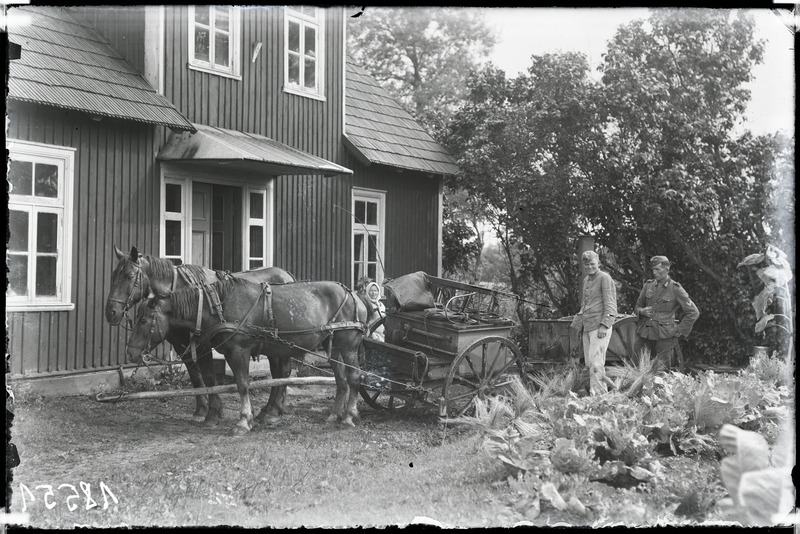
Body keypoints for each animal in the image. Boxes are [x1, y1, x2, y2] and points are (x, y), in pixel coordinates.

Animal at [104, 247, 296, 428]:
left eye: (129, 276)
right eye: (113, 275)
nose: (111, 312)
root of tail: (286, 275)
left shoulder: (202, 345)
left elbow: (209, 376)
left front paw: (214, 412)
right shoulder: (182, 345)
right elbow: (196, 376)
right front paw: (201, 410)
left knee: (282, 371)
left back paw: (272, 411)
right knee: (278, 372)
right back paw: (270, 409)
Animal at [127, 278, 368, 438]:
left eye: (144, 320)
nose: (130, 352)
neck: (217, 306)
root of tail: (354, 295)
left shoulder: (238, 351)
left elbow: (242, 385)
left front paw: (243, 421)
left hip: (349, 347)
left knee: (354, 378)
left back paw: (348, 417)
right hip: (333, 348)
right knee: (341, 380)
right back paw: (334, 415)